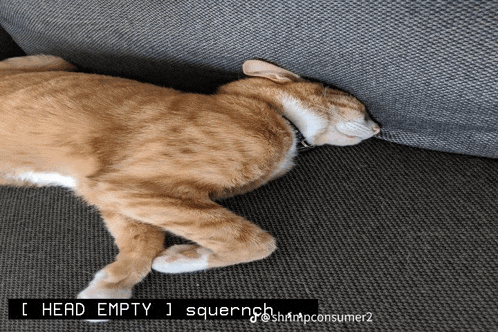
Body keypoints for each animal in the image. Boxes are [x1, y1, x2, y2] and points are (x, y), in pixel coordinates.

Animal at [0, 54, 382, 298]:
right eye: (362, 109)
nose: (380, 128)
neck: (278, 117)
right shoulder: (132, 186)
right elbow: (253, 241)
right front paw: (182, 258)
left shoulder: (115, 194)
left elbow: (143, 241)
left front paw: (112, 284)